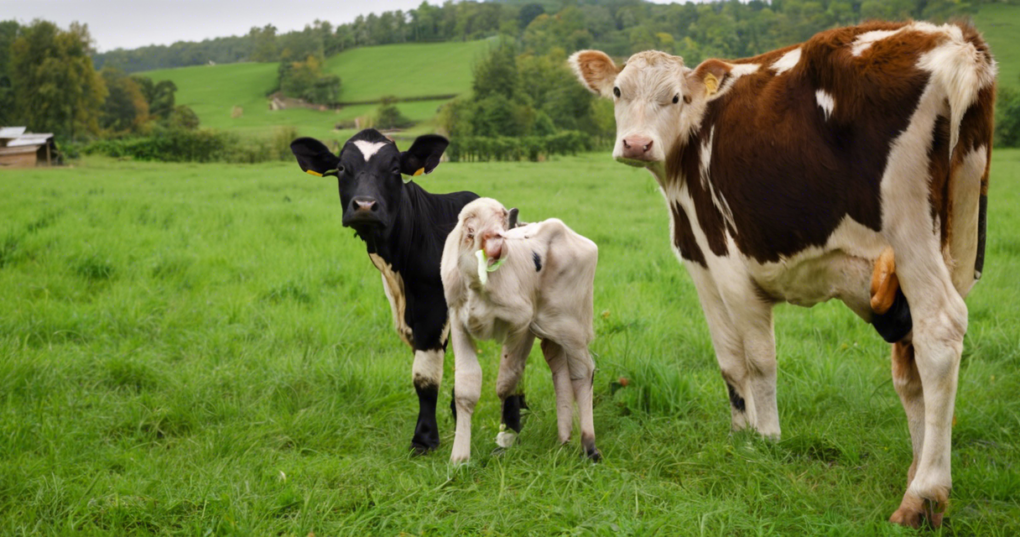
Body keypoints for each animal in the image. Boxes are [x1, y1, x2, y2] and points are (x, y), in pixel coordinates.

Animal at [289, 129, 527, 454]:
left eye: (393, 169)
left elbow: (425, 376)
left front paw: (424, 438)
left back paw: (511, 425)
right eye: (341, 168)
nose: (365, 206)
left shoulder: (431, 309)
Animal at [441, 198, 600, 463]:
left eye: (502, 225)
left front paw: (508, 434)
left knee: (582, 372)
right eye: (471, 230)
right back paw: (564, 439)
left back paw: (589, 445)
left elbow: (507, 379)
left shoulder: (521, 323)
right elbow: (466, 386)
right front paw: (459, 457)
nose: (496, 248)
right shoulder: (457, 320)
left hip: (572, 325)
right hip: (551, 329)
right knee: (559, 370)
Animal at [570, 20, 995, 528]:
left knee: (939, 334)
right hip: (957, 242)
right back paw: (918, 472)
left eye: (675, 97)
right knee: (916, 362)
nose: (636, 144)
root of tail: (949, 37)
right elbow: (729, 361)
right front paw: (740, 432)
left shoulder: (719, 261)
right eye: (618, 90)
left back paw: (924, 494)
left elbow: (756, 360)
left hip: (911, 233)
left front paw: (766, 437)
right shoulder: (705, 266)